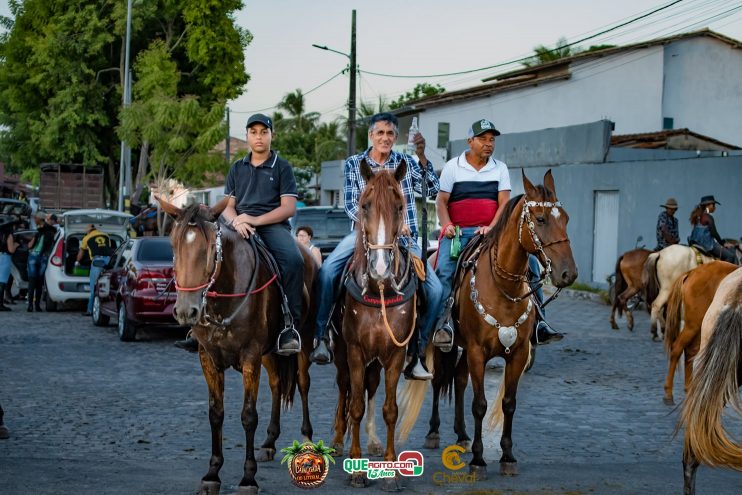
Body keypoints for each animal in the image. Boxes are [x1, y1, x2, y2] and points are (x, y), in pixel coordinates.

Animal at [160, 198, 316, 495]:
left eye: (211, 249)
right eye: (173, 245)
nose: (186, 310)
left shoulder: (250, 357)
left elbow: (248, 416)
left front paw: (248, 479)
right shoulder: (208, 358)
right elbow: (216, 413)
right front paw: (212, 474)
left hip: (303, 341)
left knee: (303, 384)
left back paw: (307, 438)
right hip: (269, 353)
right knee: (277, 384)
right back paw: (269, 442)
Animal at [334, 160, 428, 492]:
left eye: (400, 206)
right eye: (365, 205)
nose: (380, 268)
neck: (379, 290)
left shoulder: (395, 355)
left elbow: (389, 409)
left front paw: (389, 471)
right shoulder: (354, 351)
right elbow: (355, 406)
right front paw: (356, 469)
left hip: (376, 360)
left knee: (370, 388)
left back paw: (372, 442)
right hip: (342, 356)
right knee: (345, 389)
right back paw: (338, 440)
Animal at [424, 171, 580, 480]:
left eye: (566, 218)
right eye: (541, 219)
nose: (569, 273)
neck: (502, 287)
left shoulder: (517, 353)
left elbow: (509, 403)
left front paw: (507, 456)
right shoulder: (477, 352)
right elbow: (480, 405)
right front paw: (478, 461)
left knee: (459, 379)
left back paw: (462, 435)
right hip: (446, 345)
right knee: (438, 380)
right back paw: (434, 432)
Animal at [664, 262, 740, 404]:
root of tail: (692, 272)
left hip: (700, 328)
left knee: (690, 351)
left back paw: (689, 390)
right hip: (693, 325)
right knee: (677, 348)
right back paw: (668, 392)